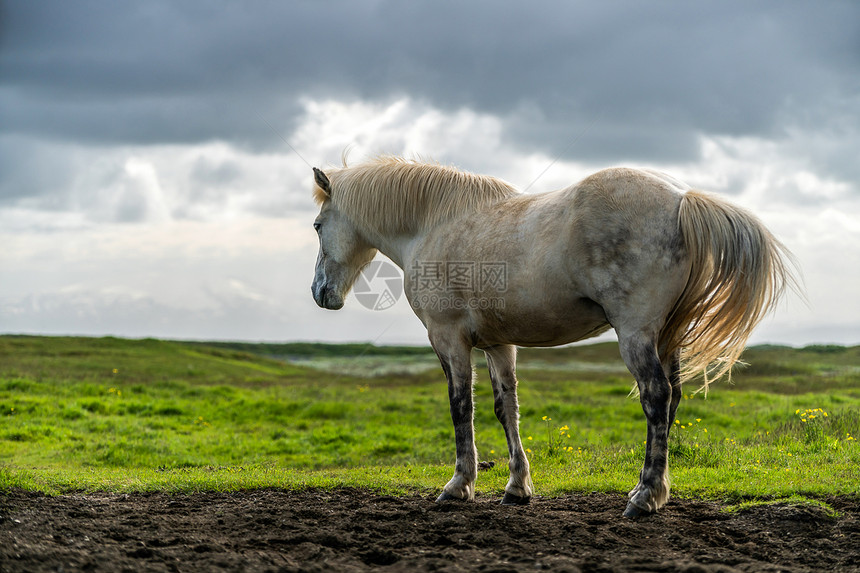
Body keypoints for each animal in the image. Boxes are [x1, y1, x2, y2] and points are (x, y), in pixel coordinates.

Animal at [308, 156, 792, 520]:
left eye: (316, 225)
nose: (319, 293)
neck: (433, 225)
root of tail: (681, 198)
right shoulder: (499, 344)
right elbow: (506, 409)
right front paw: (517, 487)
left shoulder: (448, 339)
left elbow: (461, 407)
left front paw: (459, 485)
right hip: (666, 337)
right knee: (671, 400)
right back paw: (653, 489)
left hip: (636, 334)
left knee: (656, 397)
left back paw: (644, 498)